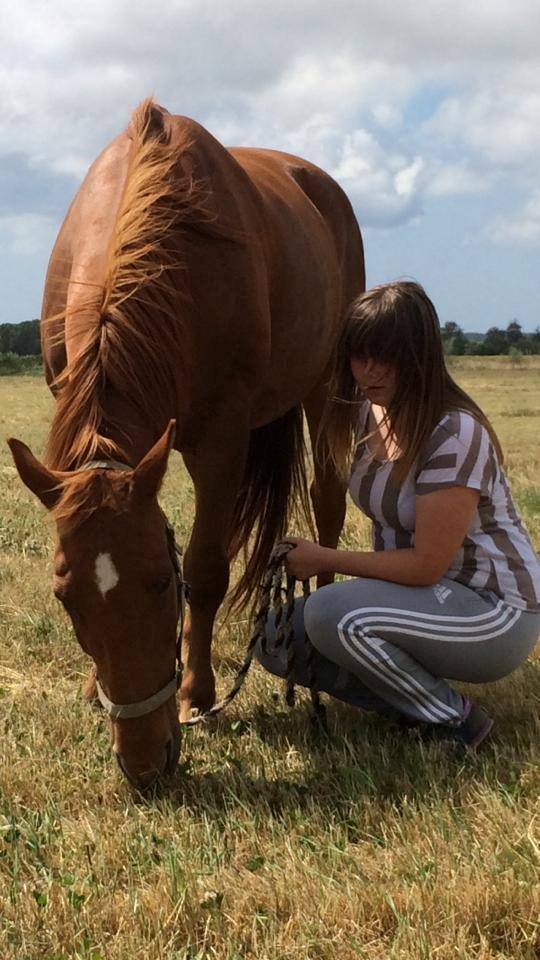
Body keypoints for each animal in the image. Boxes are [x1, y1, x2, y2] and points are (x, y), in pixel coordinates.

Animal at [8, 99, 364, 788]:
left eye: (159, 583)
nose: (145, 765)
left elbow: (206, 568)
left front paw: (196, 694)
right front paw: (94, 684)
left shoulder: (219, 439)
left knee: (327, 502)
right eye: (65, 596)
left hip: (326, 387)